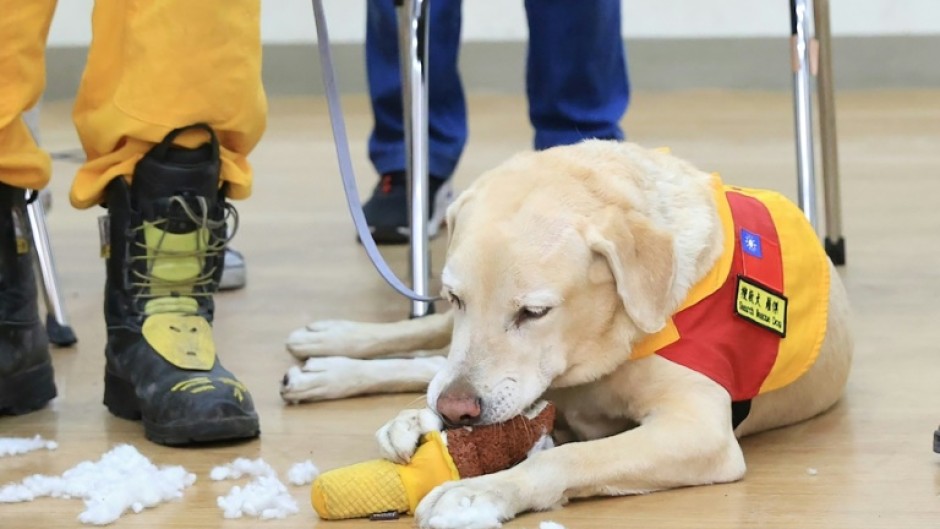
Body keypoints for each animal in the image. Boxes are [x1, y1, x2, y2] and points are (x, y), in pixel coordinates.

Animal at [280, 140, 852, 528]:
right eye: (455, 297)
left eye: (534, 312)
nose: (456, 412)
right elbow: (448, 375)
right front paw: (415, 420)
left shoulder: (700, 431)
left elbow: (565, 455)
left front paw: (477, 492)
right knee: (425, 352)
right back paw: (329, 355)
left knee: (428, 363)